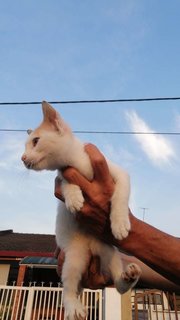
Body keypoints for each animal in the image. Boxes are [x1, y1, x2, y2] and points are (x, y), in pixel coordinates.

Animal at [21, 101, 141, 318]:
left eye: (35, 141)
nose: (22, 158)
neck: (77, 163)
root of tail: (90, 248)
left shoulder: (120, 173)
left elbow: (119, 196)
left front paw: (120, 223)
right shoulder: (62, 175)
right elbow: (66, 182)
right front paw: (74, 198)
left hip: (110, 252)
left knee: (118, 286)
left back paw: (127, 278)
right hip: (73, 259)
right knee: (68, 289)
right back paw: (73, 307)